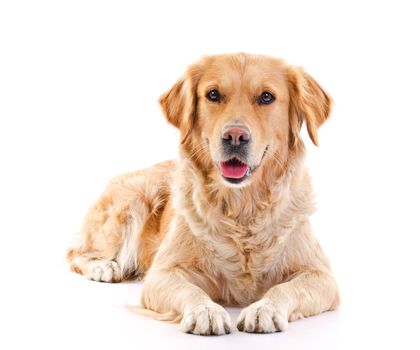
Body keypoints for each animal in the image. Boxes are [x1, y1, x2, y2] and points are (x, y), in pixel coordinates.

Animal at [67, 52, 340, 336]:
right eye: (213, 94)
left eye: (267, 97)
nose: (235, 136)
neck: (241, 208)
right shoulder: (162, 273)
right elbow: (188, 290)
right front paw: (205, 311)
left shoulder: (321, 276)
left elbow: (285, 288)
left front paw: (265, 309)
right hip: (133, 200)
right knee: (75, 253)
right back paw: (103, 266)